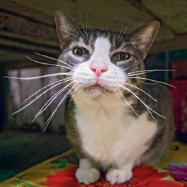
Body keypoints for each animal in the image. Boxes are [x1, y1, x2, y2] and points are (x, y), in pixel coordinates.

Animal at [53, 10, 174, 184]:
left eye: (122, 56)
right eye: (79, 52)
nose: (98, 68)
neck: (102, 113)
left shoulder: (156, 123)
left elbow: (131, 153)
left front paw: (119, 170)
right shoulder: (70, 123)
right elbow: (81, 149)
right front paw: (87, 169)